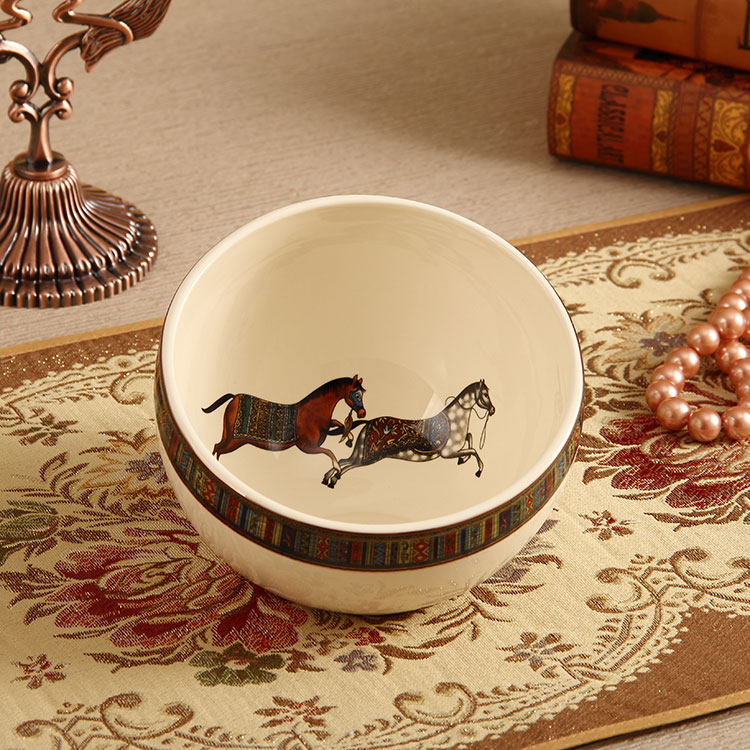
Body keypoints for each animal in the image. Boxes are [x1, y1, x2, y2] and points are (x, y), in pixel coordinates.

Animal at [202, 375, 365, 475]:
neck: (312, 413)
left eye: (362, 394)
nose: (363, 413)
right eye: (356, 394)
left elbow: (339, 424)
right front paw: (337, 466)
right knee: (218, 449)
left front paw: (349, 438)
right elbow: (329, 451)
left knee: (217, 447)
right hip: (234, 440)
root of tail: (234, 397)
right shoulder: (308, 447)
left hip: (228, 436)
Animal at [322, 380, 494, 488]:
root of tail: (368, 422)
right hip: (368, 458)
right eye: (485, 394)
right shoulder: (448, 453)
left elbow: (470, 438)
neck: (453, 420)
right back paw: (333, 480)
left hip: (360, 454)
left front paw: (462, 460)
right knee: (346, 465)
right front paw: (478, 470)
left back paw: (327, 479)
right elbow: (474, 450)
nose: (493, 410)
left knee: (342, 462)